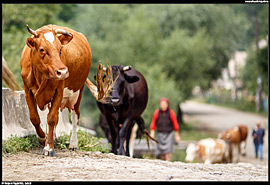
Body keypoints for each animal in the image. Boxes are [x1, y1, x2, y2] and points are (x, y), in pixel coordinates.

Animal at [20, 23, 113, 155]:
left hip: (78, 92)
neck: (41, 76)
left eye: (60, 49)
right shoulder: (28, 90)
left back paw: (73, 144)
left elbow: (51, 119)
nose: (63, 72)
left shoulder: (58, 91)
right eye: (42, 49)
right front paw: (42, 137)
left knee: (75, 116)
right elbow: (34, 118)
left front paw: (48, 147)